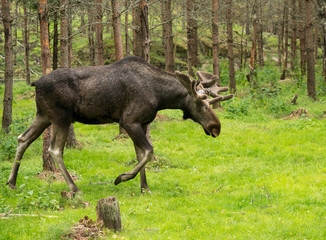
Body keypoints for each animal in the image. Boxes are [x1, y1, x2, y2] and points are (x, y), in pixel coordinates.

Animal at [7, 56, 232, 195]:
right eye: (201, 104)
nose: (216, 127)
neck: (161, 96)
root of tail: (35, 83)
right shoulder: (129, 121)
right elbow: (149, 152)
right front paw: (121, 178)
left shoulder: (142, 123)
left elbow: (141, 154)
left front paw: (144, 188)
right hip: (61, 118)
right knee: (54, 149)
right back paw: (74, 188)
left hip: (43, 116)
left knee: (22, 139)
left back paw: (11, 183)